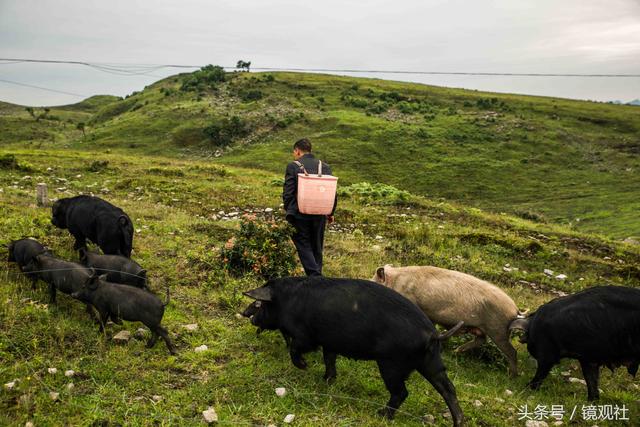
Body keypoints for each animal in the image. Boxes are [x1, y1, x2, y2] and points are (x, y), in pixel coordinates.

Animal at [242, 276, 462, 426]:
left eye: (260, 304)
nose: (248, 316)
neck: (286, 301)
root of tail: (432, 334)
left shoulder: (306, 335)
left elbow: (296, 348)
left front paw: (304, 367)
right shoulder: (329, 342)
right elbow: (329, 359)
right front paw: (327, 380)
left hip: (391, 364)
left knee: (401, 392)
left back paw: (382, 415)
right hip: (431, 362)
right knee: (448, 388)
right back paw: (458, 421)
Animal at [510, 288, 640, 402]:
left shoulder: (547, 352)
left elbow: (541, 371)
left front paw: (526, 388)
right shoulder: (588, 358)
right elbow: (591, 380)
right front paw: (591, 402)